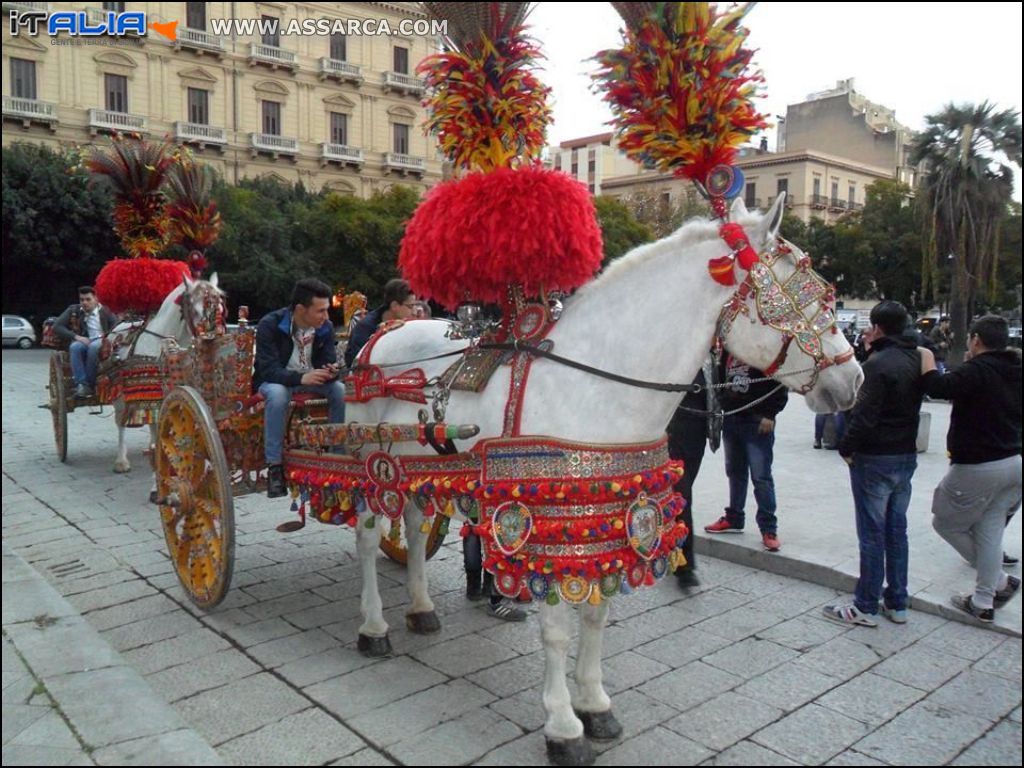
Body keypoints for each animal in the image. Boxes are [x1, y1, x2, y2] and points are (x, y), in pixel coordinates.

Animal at [346, 198, 864, 765]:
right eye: (807, 296)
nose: (853, 381)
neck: (597, 382)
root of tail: (383, 335)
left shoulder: (609, 517)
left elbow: (596, 617)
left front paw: (594, 705)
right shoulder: (545, 524)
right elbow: (556, 630)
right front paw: (562, 726)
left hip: (417, 470)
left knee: (416, 531)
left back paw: (421, 609)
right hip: (371, 460)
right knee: (369, 538)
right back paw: (373, 627)